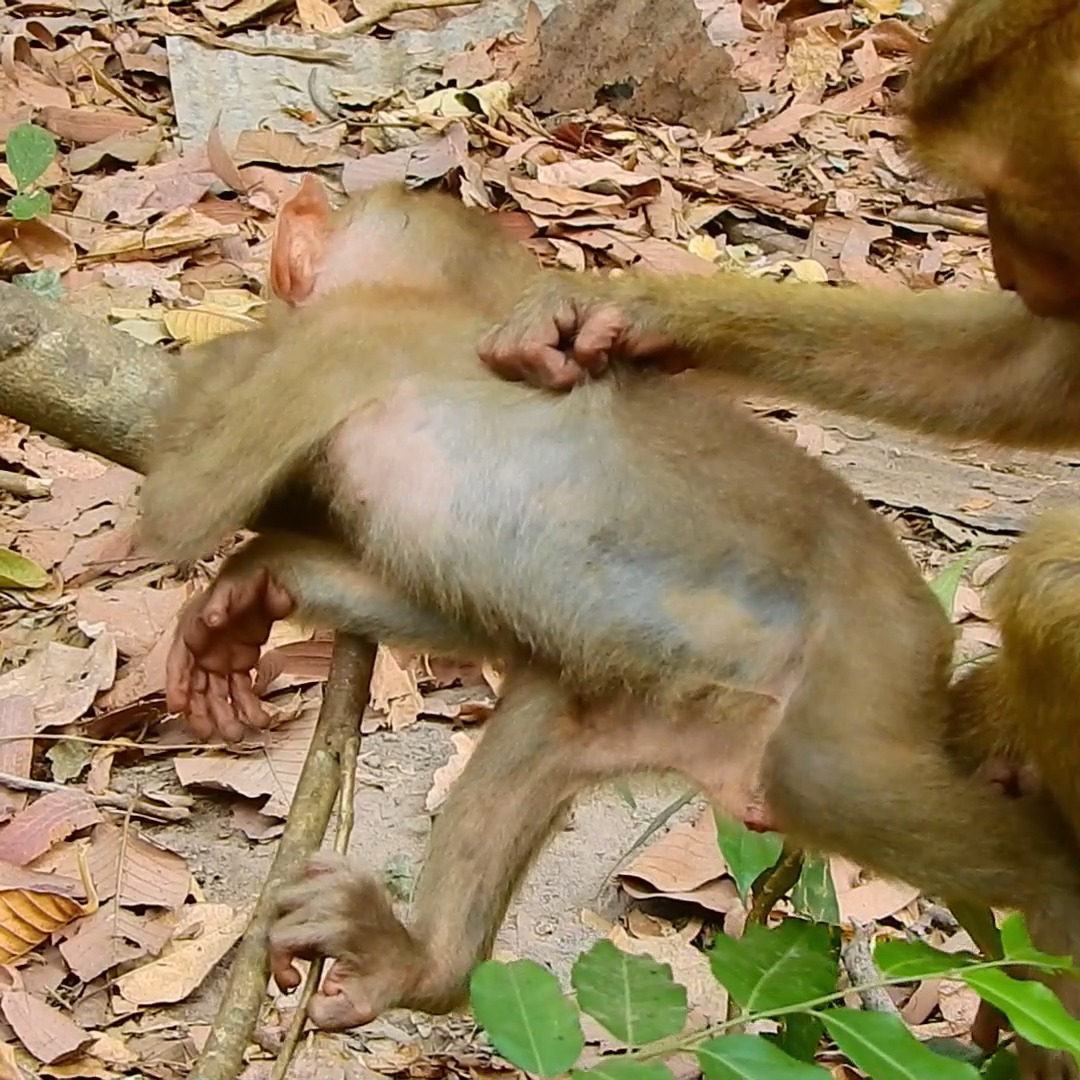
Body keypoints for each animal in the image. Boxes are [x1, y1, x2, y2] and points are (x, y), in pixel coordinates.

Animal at [140, 178, 1080, 1079]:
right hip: (638, 707)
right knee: (534, 727)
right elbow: (453, 614)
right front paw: (256, 588)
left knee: (832, 776)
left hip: (881, 635)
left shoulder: (342, 337)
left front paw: (209, 386)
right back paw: (426, 964)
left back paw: (1053, 889)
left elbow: (182, 505)